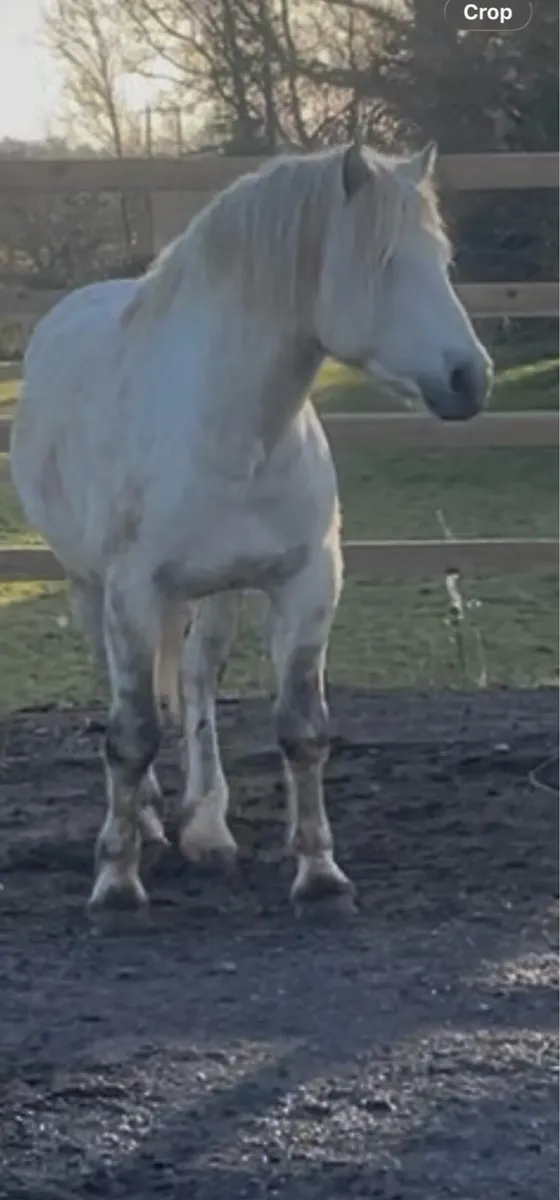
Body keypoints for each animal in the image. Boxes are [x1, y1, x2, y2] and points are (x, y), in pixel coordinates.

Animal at [10, 140, 493, 914]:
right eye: (383, 261)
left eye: (442, 261)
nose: (469, 379)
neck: (232, 429)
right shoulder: (132, 593)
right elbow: (132, 730)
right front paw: (116, 878)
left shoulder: (307, 583)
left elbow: (301, 728)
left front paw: (318, 869)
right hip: (89, 586)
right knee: (127, 692)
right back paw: (149, 818)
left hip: (218, 591)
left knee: (197, 680)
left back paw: (207, 824)